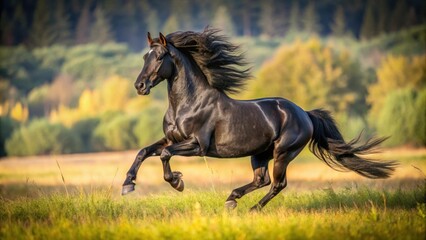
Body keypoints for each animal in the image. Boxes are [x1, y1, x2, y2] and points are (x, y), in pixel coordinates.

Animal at [121, 28, 398, 210]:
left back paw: (253, 208)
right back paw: (232, 199)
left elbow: (165, 155)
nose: (140, 86)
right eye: (144, 57)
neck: (188, 104)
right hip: (260, 153)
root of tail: (304, 114)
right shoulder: (170, 138)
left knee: (277, 183)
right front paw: (128, 185)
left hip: (283, 152)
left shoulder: (197, 145)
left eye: (159, 57)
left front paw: (177, 182)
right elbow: (144, 152)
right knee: (261, 179)